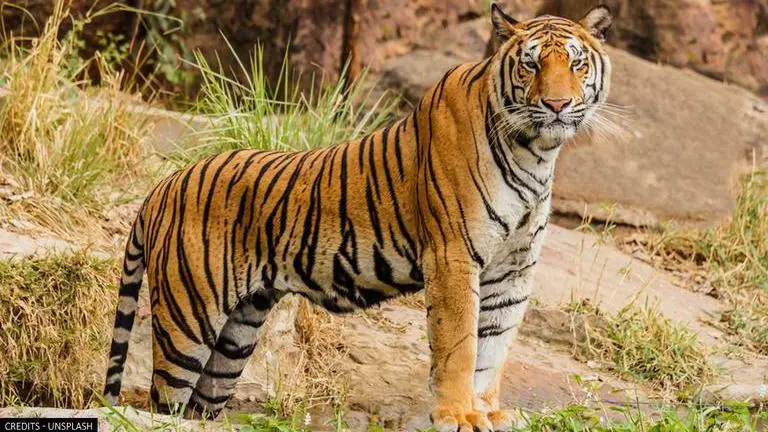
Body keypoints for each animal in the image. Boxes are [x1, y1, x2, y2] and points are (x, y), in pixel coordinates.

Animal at [103, 3, 612, 431]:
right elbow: (460, 345)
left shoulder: (513, 270)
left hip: (236, 335)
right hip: (188, 321)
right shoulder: (453, 257)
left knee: (198, 406)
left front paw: (486, 412)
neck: (536, 151)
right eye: (531, 65)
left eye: (576, 64)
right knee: (162, 401)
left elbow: (493, 348)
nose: (557, 106)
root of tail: (162, 186)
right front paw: (458, 414)